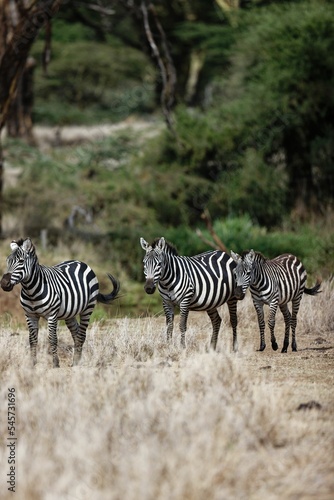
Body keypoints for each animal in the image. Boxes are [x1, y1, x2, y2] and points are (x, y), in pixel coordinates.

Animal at [0, 238, 120, 368]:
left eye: (21, 261)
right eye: (7, 261)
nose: (4, 283)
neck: (31, 291)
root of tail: (80, 261)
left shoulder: (52, 315)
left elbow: (53, 339)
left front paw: (55, 364)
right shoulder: (30, 315)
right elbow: (32, 339)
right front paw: (32, 364)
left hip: (88, 308)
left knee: (82, 334)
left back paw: (77, 363)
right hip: (70, 314)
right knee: (76, 334)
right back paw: (76, 360)